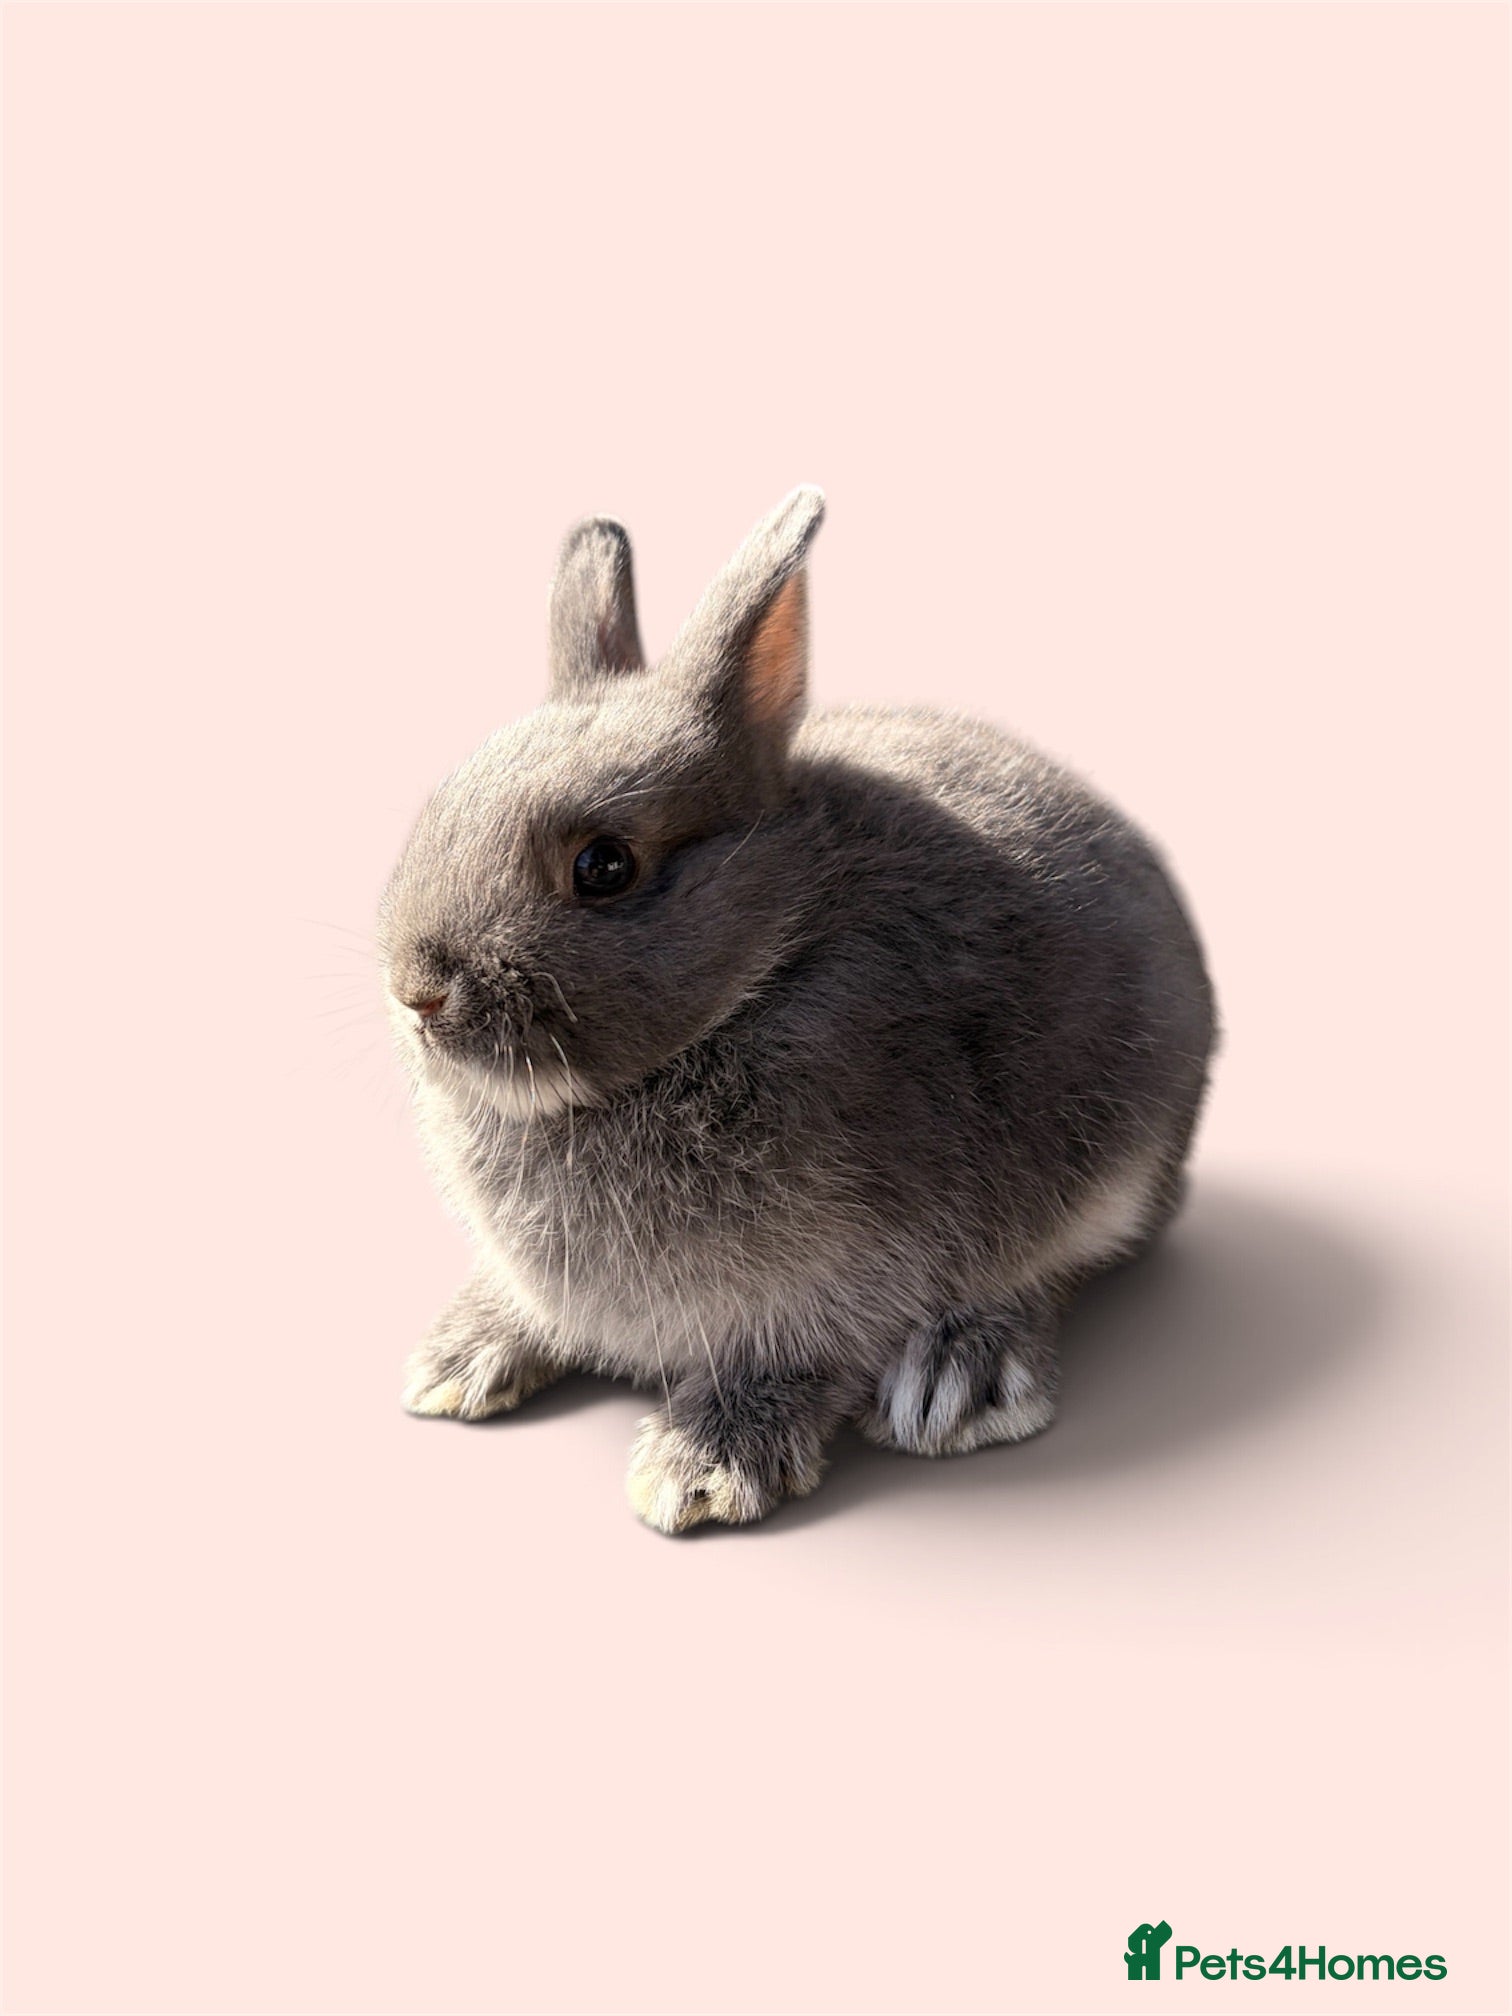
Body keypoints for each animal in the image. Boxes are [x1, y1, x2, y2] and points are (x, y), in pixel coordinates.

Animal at [381, 486, 1216, 1533]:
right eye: (443, 809)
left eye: (604, 866)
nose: (417, 990)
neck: (761, 973)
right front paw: (458, 1361)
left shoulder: (836, 1275)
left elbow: (793, 1355)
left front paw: (698, 1470)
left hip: (1116, 1165)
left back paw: (958, 1379)